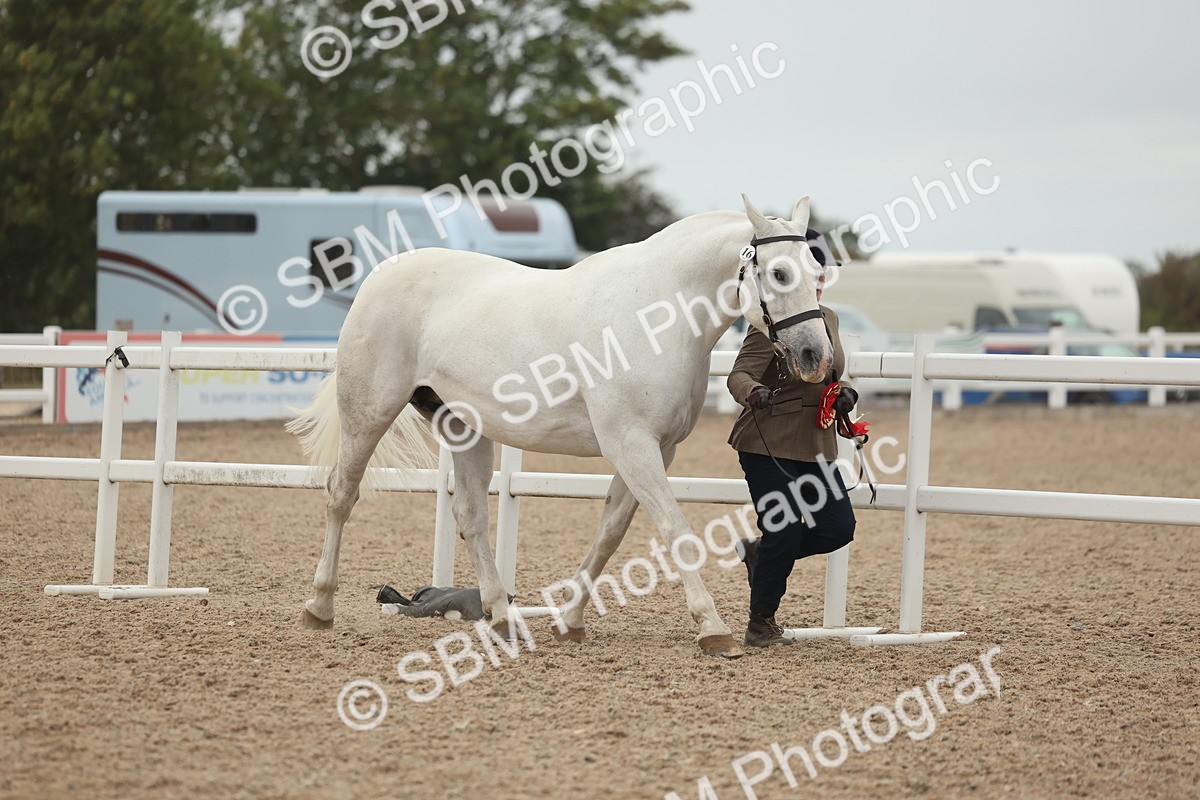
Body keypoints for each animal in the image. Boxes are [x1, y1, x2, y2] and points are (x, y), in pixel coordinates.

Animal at [287, 194, 833, 658]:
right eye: (778, 272)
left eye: (816, 272)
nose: (816, 357)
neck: (655, 316)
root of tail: (379, 277)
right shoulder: (632, 444)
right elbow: (675, 530)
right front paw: (713, 628)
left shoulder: (656, 448)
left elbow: (611, 531)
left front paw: (570, 621)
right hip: (368, 413)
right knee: (341, 495)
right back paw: (319, 607)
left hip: (462, 427)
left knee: (470, 516)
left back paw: (502, 618)